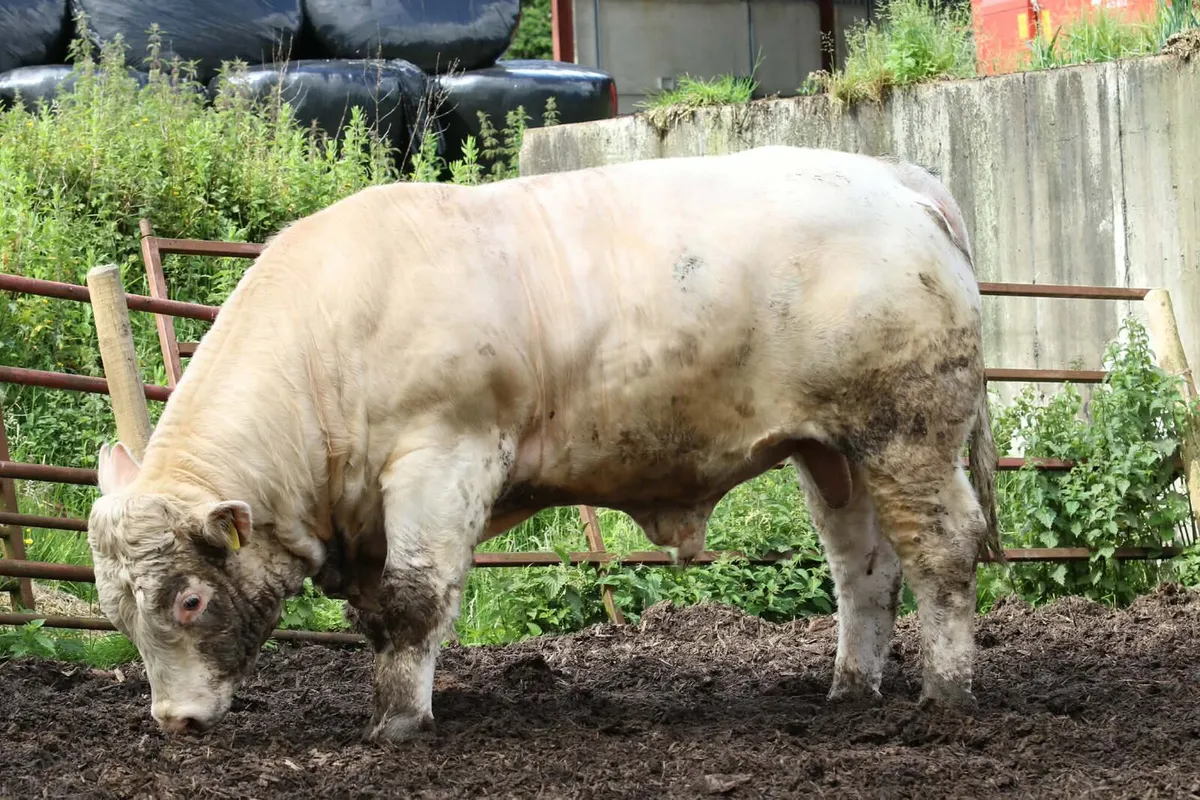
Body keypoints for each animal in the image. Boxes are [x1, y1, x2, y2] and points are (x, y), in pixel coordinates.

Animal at [86, 144, 1001, 745]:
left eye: (189, 600)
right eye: (114, 609)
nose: (174, 720)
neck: (332, 337)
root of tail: (896, 178)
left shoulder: (442, 460)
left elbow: (415, 600)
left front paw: (398, 725)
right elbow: (379, 616)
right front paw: (390, 705)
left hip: (908, 433)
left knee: (943, 552)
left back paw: (946, 695)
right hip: (833, 452)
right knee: (863, 568)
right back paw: (850, 689)